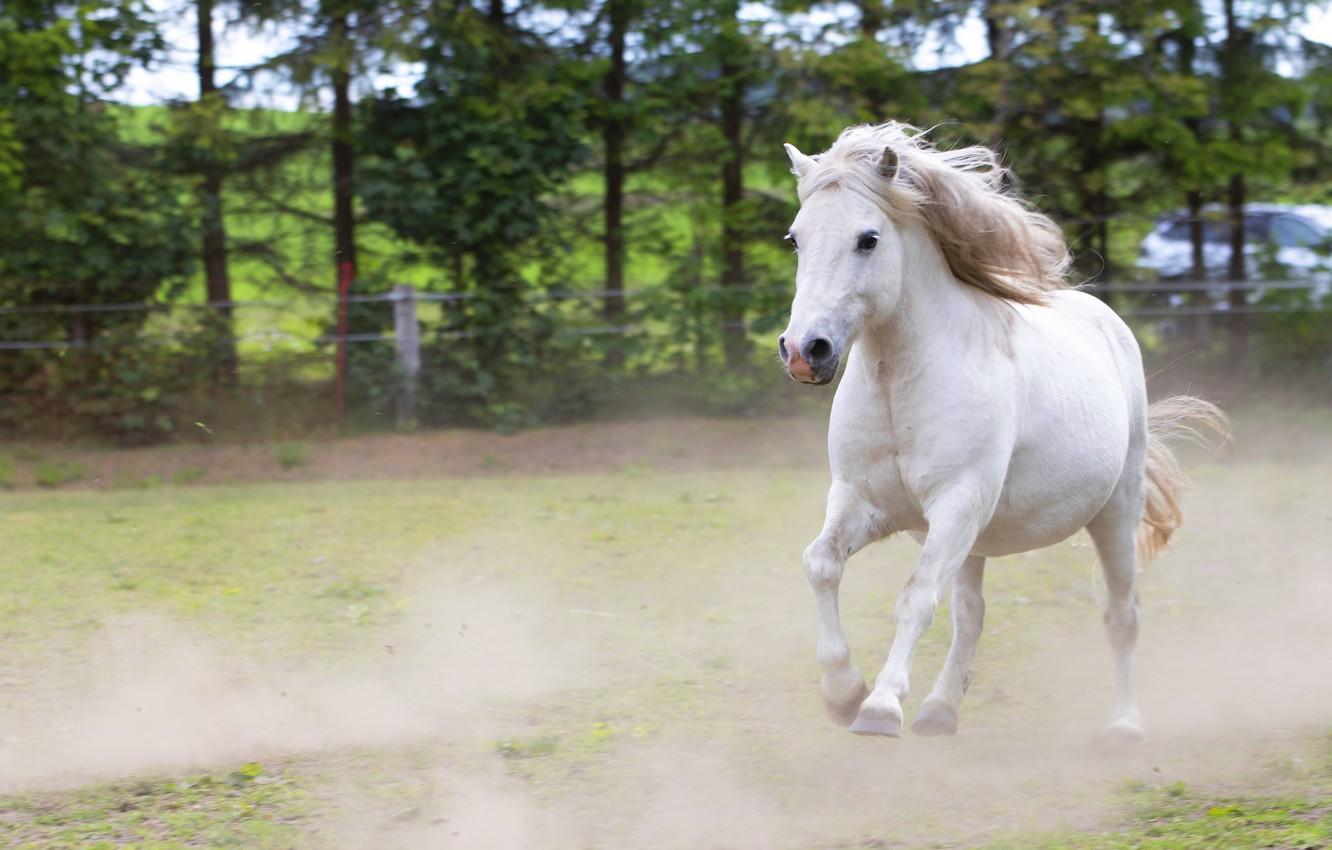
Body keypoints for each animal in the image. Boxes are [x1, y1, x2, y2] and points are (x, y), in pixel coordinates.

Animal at [778, 123, 1227, 743]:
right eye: (796, 239)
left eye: (868, 239)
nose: (805, 351)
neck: (901, 385)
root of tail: (1105, 321)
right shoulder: (865, 501)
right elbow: (821, 565)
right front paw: (843, 692)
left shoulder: (956, 501)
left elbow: (916, 598)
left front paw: (879, 708)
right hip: (975, 538)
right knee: (971, 614)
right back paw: (940, 711)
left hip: (1114, 510)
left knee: (1122, 614)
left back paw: (1124, 727)